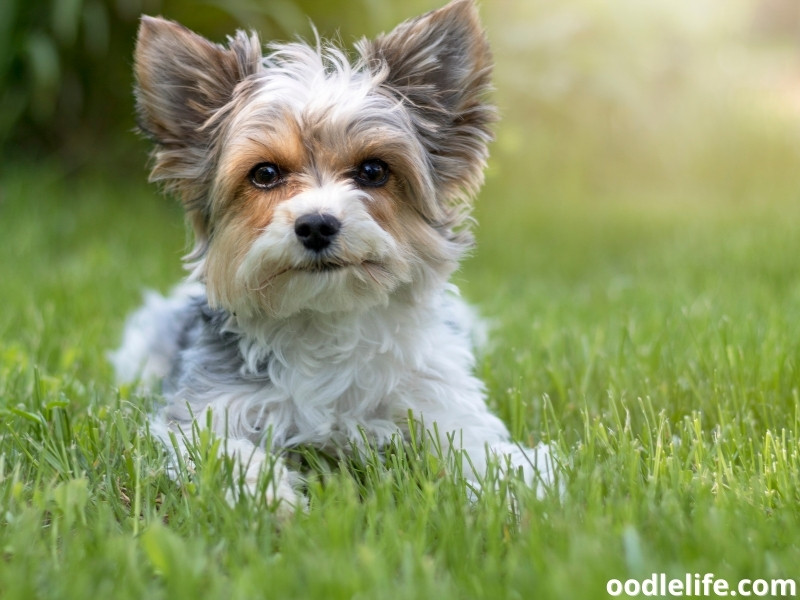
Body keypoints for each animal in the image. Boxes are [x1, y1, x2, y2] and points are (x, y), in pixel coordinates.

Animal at [112, 0, 552, 510]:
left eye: (373, 171)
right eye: (265, 174)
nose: (317, 224)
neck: (325, 319)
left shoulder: (439, 403)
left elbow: (480, 449)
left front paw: (526, 486)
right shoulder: (206, 412)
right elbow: (225, 452)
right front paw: (268, 499)